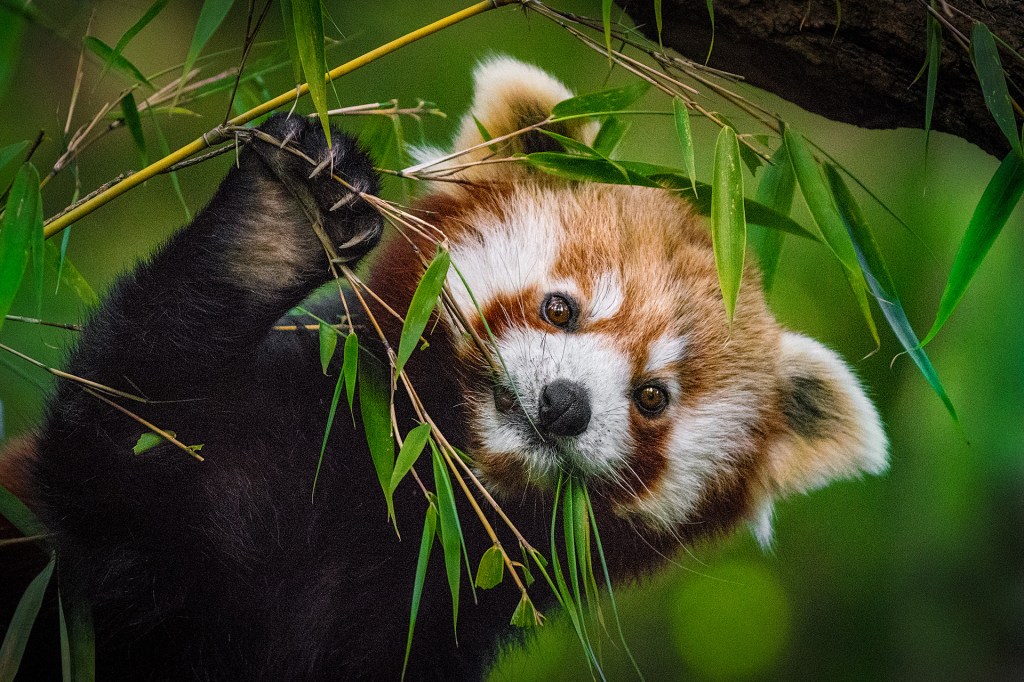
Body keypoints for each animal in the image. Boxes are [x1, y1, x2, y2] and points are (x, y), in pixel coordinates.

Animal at [0, 57, 886, 680]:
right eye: (559, 308)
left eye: (652, 397)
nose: (564, 405)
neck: (406, 495)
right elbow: (116, 441)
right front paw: (278, 225)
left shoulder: (431, 621)